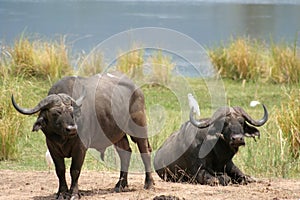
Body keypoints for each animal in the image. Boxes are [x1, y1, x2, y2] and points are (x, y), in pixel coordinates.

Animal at [11, 71, 155, 198]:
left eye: (72, 111)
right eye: (56, 112)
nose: (72, 128)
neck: (63, 138)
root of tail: (136, 88)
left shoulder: (80, 147)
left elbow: (75, 170)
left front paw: (74, 193)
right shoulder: (52, 147)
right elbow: (60, 170)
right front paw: (62, 193)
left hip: (139, 126)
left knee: (145, 151)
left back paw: (149, 184)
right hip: (117, 134)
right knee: (125, 153)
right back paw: (120, 185)